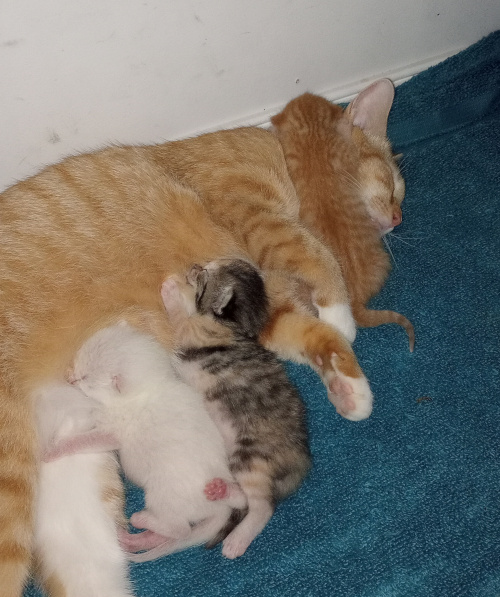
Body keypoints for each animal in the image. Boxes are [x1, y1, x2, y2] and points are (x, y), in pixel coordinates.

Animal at [43, 324, 246, 560]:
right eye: (79, 358)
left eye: (85, 378)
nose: (70, 377)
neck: (151, 385)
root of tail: (220, 508)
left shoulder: (112, 431)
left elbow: (83, 440)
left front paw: (53, 450)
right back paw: (134, 539)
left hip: (161, 494)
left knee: (181, 529)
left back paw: (141, 520)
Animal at [160, 260, 310, 560]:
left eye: (205, 274)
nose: (195, 265)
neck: (235, 326)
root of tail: (300, 457)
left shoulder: (193, 330)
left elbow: (181, 317)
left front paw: (171, 291)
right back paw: (221, 491)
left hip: (250, 455)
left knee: (262, 506)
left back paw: (236, 541)